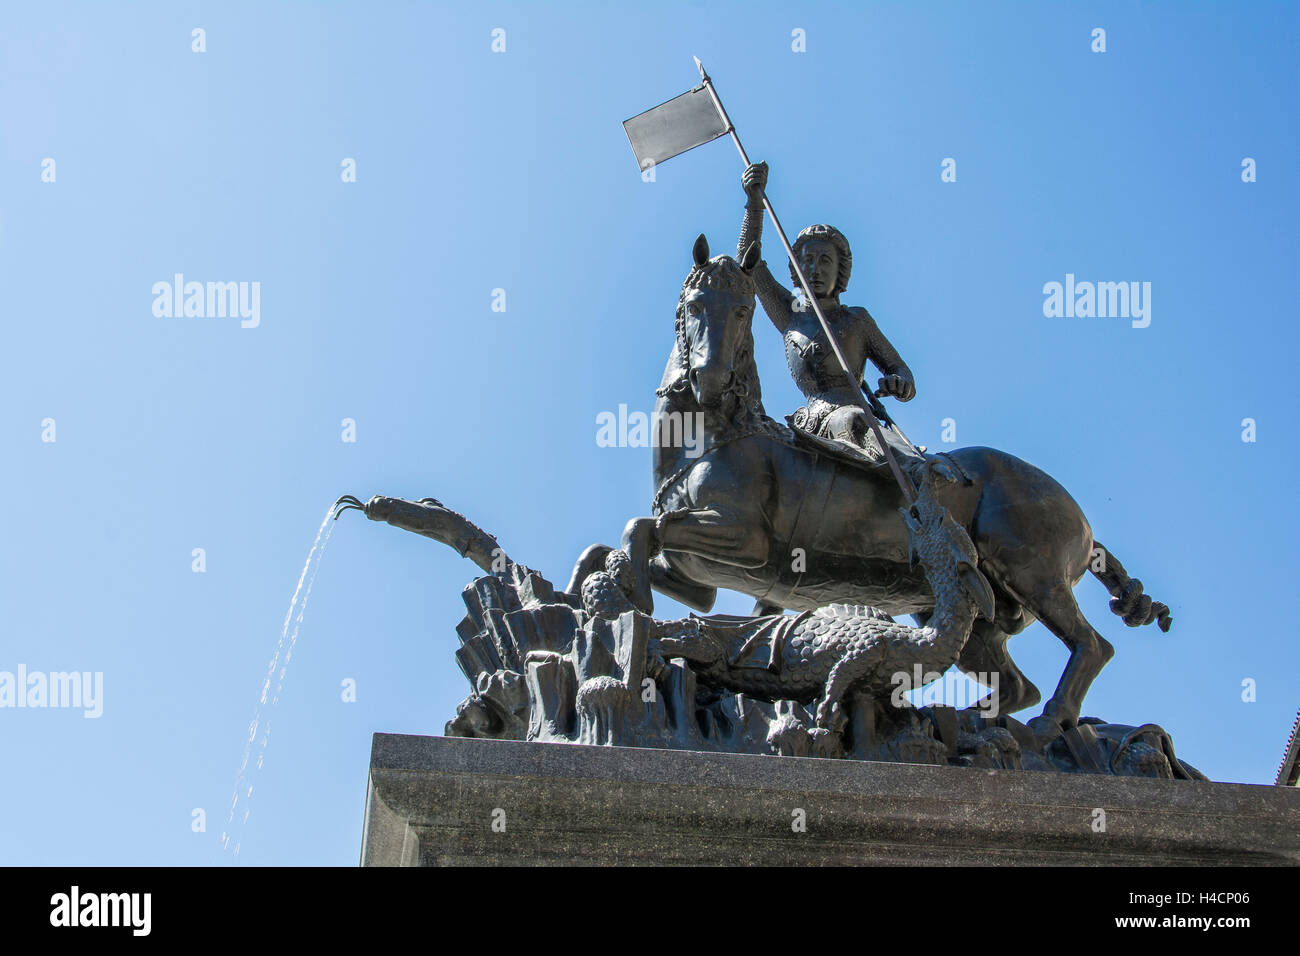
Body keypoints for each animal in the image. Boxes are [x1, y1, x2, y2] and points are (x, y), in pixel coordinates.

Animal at [574, 234, 1175, 738]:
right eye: (695, 305)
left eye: (743, 311)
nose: (711, 381)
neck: (715, 437)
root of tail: (1081, 519)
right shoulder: (699, 578)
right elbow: (607, 549)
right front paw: (603, 598)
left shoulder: (745, 541)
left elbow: (640, 528)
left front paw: (633, 607)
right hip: (968, 612)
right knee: (1013, 683)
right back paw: (965, 724)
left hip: (1036, 576)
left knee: (1092, 647)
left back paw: (1052, 722)